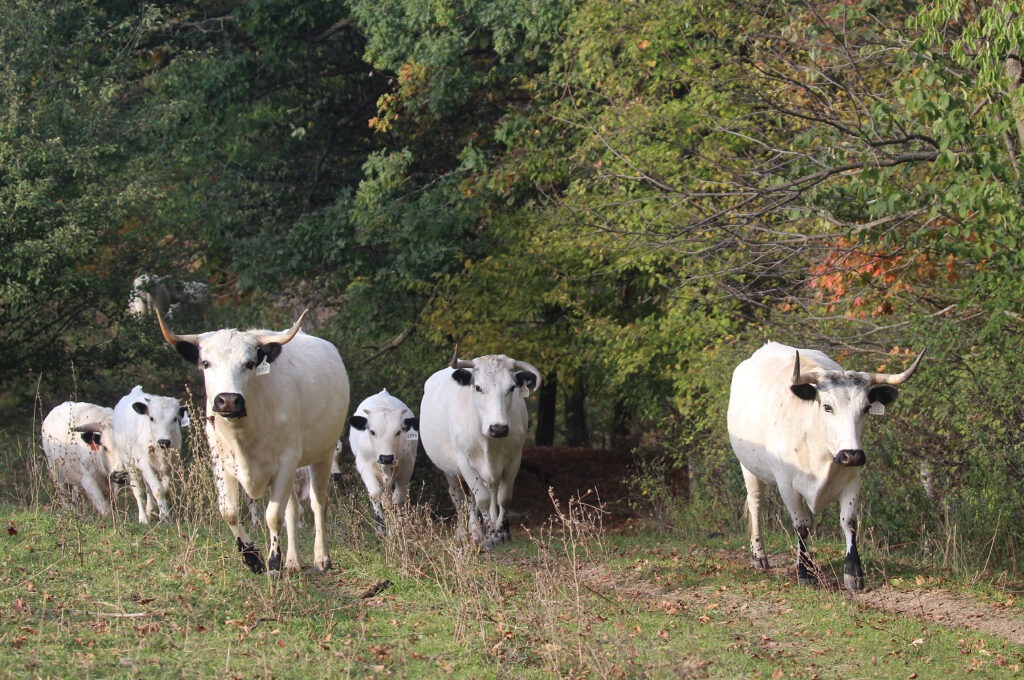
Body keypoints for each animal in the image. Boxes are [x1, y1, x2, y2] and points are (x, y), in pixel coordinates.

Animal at [112, 385, 188, 524]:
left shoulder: (171, 465)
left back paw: (150, 510)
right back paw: (143, 518)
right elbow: (157, 489)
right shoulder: (143, 462)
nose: (163, 441)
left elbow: (165, 490)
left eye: (175, 418)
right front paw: (164, 517)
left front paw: (165, 513)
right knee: (138, 490)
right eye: (152, 418)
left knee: (148, 488)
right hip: (130, 464)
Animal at [156, 309, 349, 576]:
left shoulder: (285, 461)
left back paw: (322, 558)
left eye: (250, 363)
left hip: (323, 453)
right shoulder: (221, 462)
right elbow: (229, 512)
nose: (228, 400)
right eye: (206, 363)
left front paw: (274, 563)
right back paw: (293, 561)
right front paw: (252, 557)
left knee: (318, 503)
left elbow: (273, 515)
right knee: (292, 508)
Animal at [348, 390, 419, 529]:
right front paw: (381, 525)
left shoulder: (408, 465)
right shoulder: (363, 463)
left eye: (398, 432)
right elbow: (375, 494)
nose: (386, 458)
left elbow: (399, 498)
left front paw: (398, 526)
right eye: (372, 432)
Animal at [419, 352, 541, 547]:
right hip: (449, 470)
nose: (498, 428)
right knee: (460, 498)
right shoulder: (465, 462)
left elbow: (503, 497)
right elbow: (481, 499)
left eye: (511, 388)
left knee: (485, 494)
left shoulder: (514, 459)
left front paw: (501, 532)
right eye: (478, 387)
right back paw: (466, 533)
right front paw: (488, 536)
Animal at [727, 342, 924, 590]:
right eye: (828, 407)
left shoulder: (852, 479)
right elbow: (802, 525)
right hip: (748, 467)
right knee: (755, 504)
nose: (852, 455)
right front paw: (805, 572)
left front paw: (853, 572)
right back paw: (759, 556)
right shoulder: (787, 484)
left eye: (866, 408)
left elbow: (849, 522)